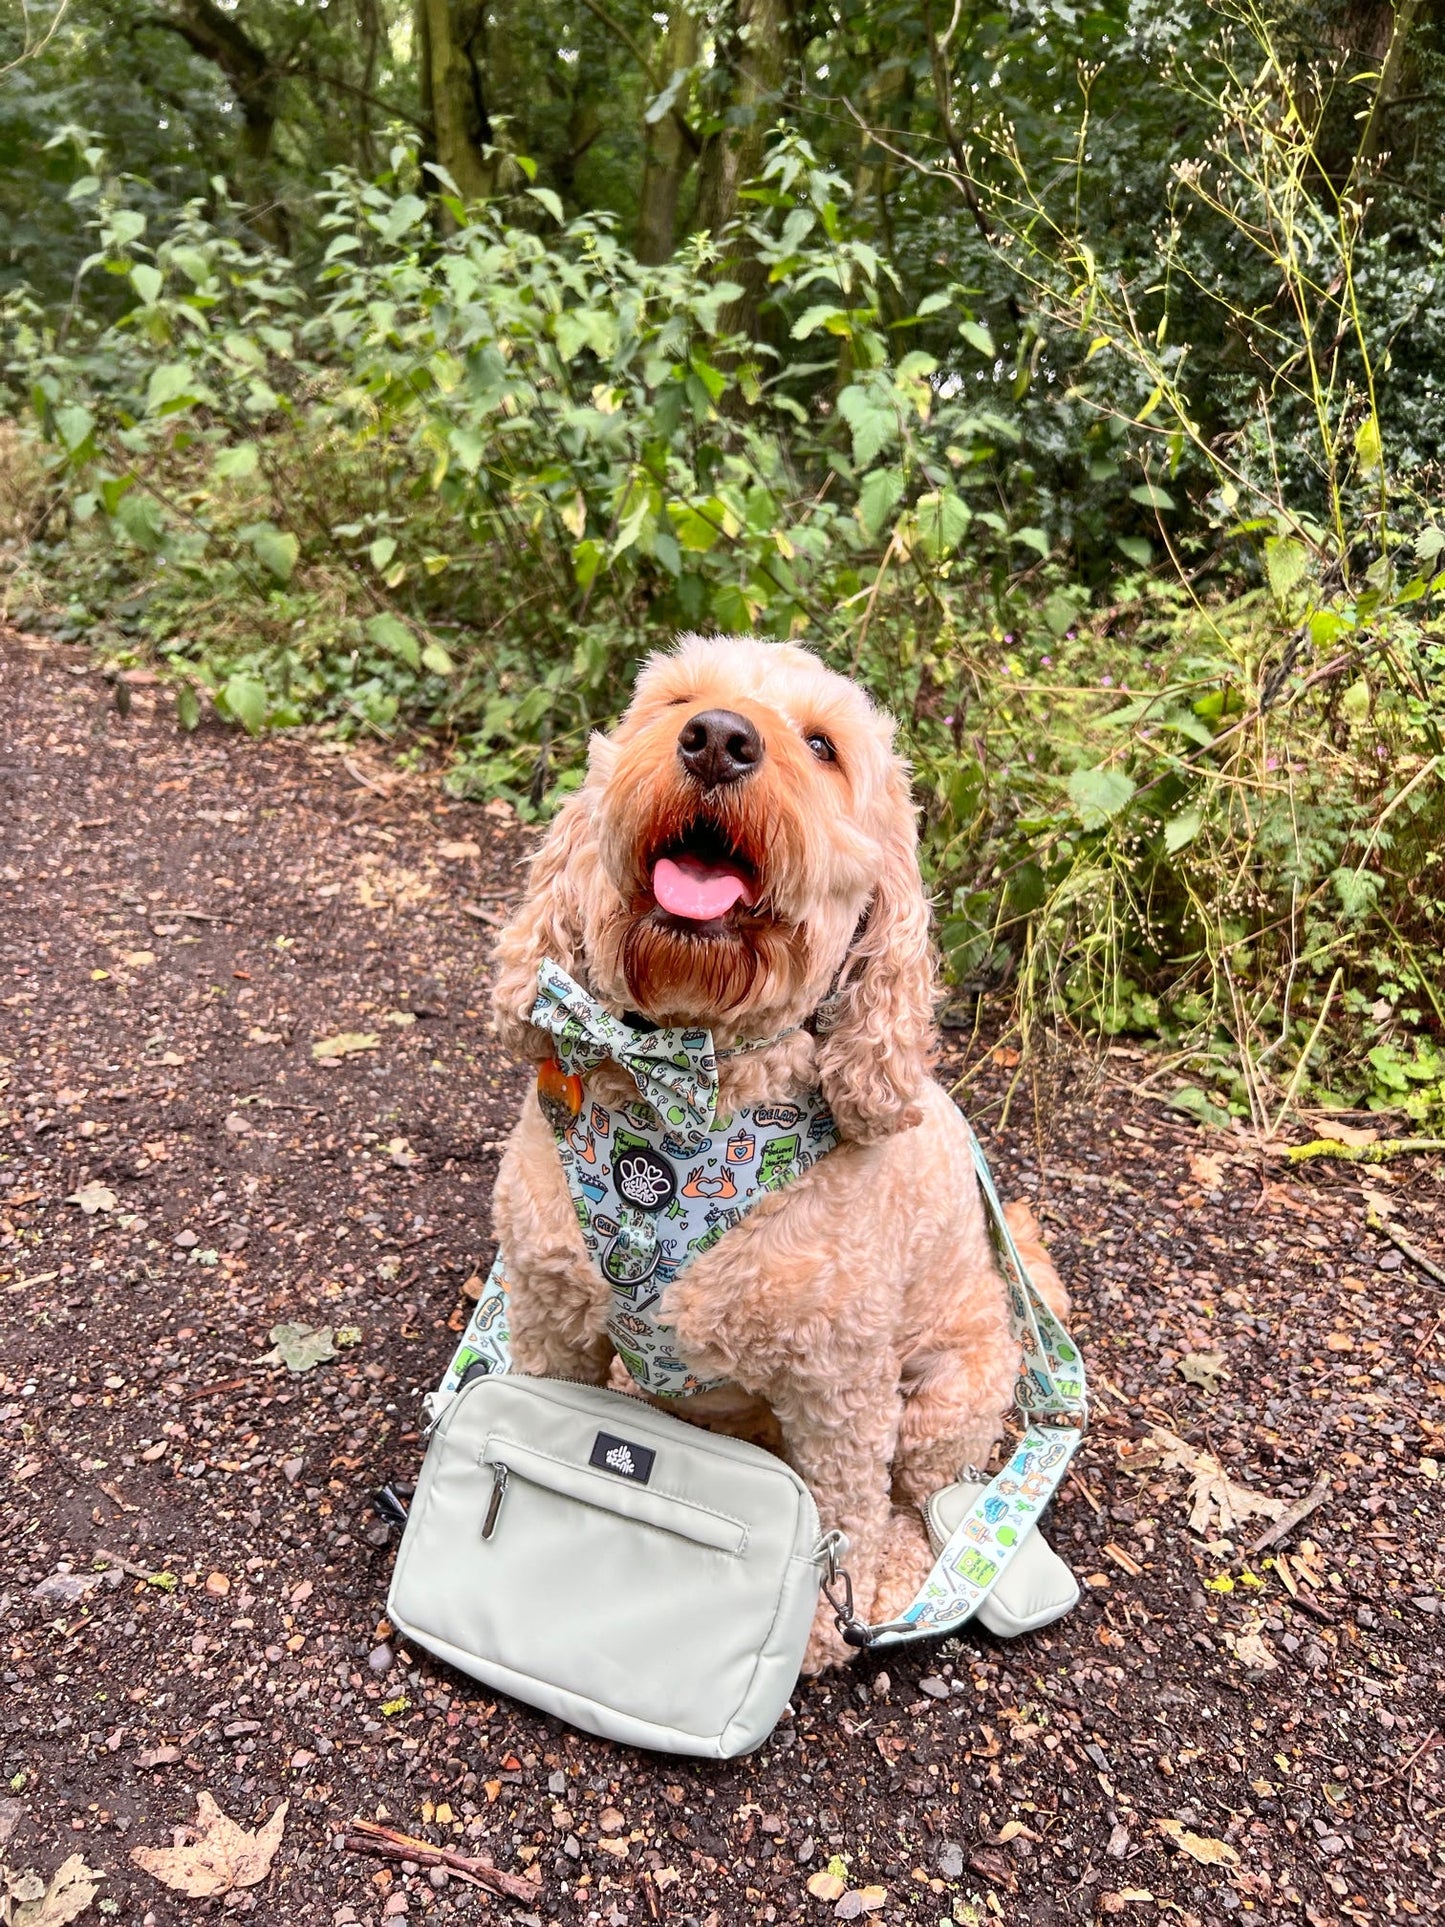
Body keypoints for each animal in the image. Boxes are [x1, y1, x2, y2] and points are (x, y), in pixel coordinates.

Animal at [493, 635, 1071, 1672]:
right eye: (672, 702)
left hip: (944, 1398)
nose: (718, 739)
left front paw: (818, 1626)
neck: (690, 1088)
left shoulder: (836, 1383)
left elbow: (842, 1505)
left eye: (823, 746)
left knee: (912, 1496)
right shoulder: (552, 1310)